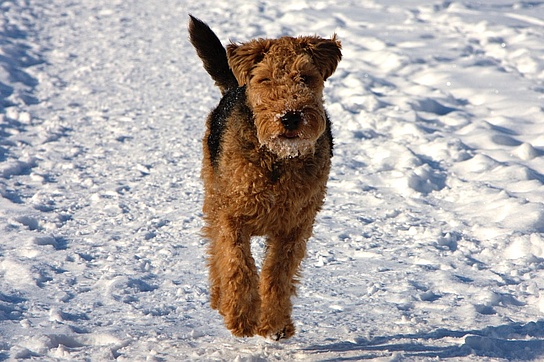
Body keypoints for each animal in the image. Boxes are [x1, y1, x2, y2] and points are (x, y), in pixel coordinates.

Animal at [187, 15, 340, 340]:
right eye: (266, 79)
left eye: (306, 77)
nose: (291, 116)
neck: (278, 161)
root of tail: (234, 86)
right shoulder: (232, 216)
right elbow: (238, 263)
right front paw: (242, 316)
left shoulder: (294, 227)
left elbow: (276, 274)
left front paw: (275, 323)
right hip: (213, 194)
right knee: (214, 250)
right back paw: (220, 299)